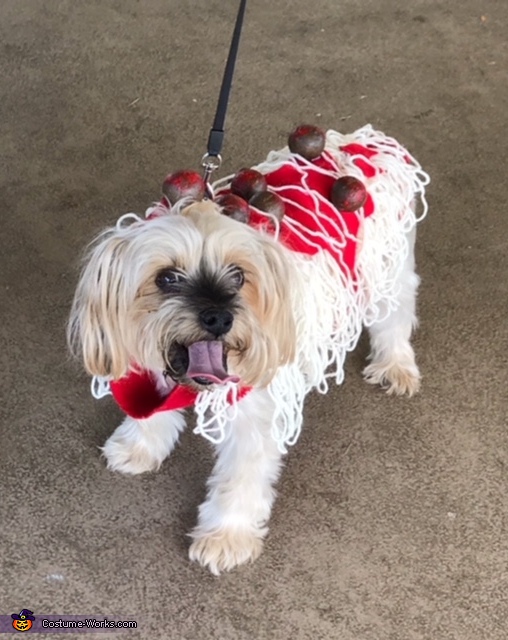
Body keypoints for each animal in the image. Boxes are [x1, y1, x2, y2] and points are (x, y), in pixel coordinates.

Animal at [68, 125, 428, 576]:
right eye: (166, 277)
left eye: (238, 275)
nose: (219, 318)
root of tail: (368, 141)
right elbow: (152, 412)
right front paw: (140, 445)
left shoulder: (254, 414)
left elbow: (240, 478)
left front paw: (226, 536)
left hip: (385, 272)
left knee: (397, 315)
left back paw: (395, 364)